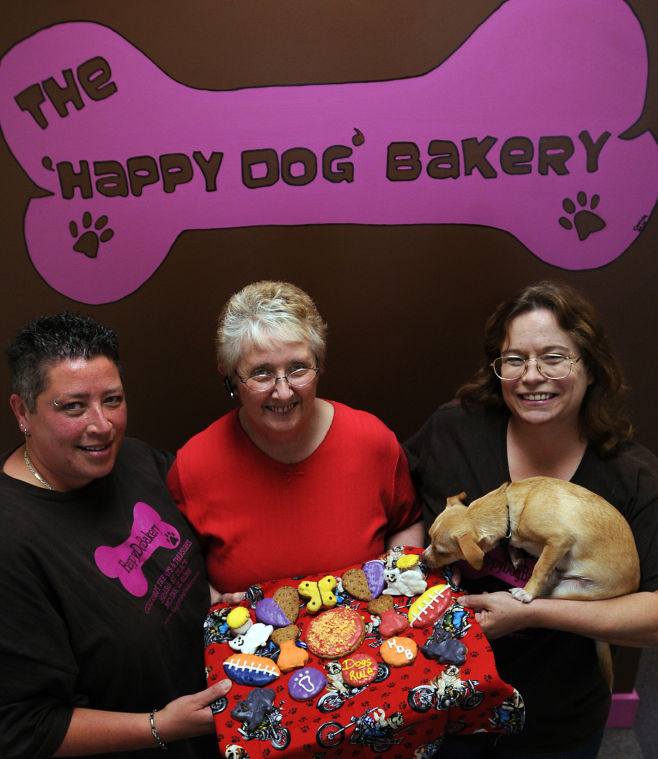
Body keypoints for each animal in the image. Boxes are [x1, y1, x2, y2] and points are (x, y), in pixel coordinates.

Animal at [422, 476, 640, 604]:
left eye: (442, 552)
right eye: (429, 537)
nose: (422, 559)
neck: (508, 510)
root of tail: (634, 585)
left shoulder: (559, 541)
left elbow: (540, 568)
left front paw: (527, 592)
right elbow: (513, 547)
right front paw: (516, 557)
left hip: (572, 591)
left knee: (548, 590)